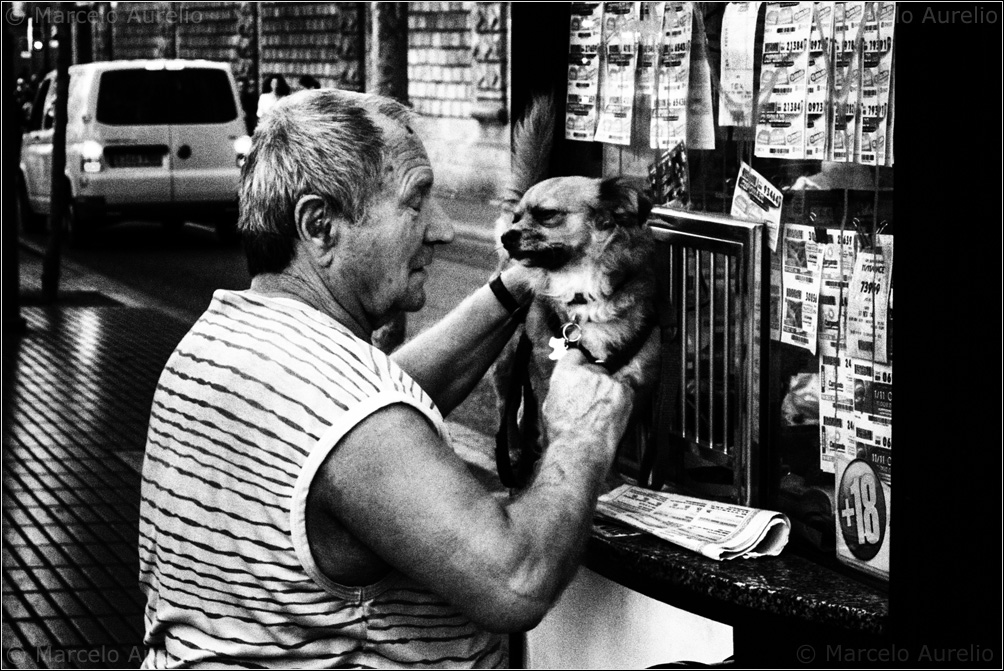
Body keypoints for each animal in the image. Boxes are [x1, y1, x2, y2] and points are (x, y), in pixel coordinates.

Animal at [491, 96, 662, 488]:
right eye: (518, 217)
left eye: (546, 214)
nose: (508, 237)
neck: (582, 289)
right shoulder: (547, 378)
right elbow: (550, 426)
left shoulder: (637, 387)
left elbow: (616, 443)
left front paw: (614, 485)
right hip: (508, 361)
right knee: (507, 408)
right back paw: (515, 453)